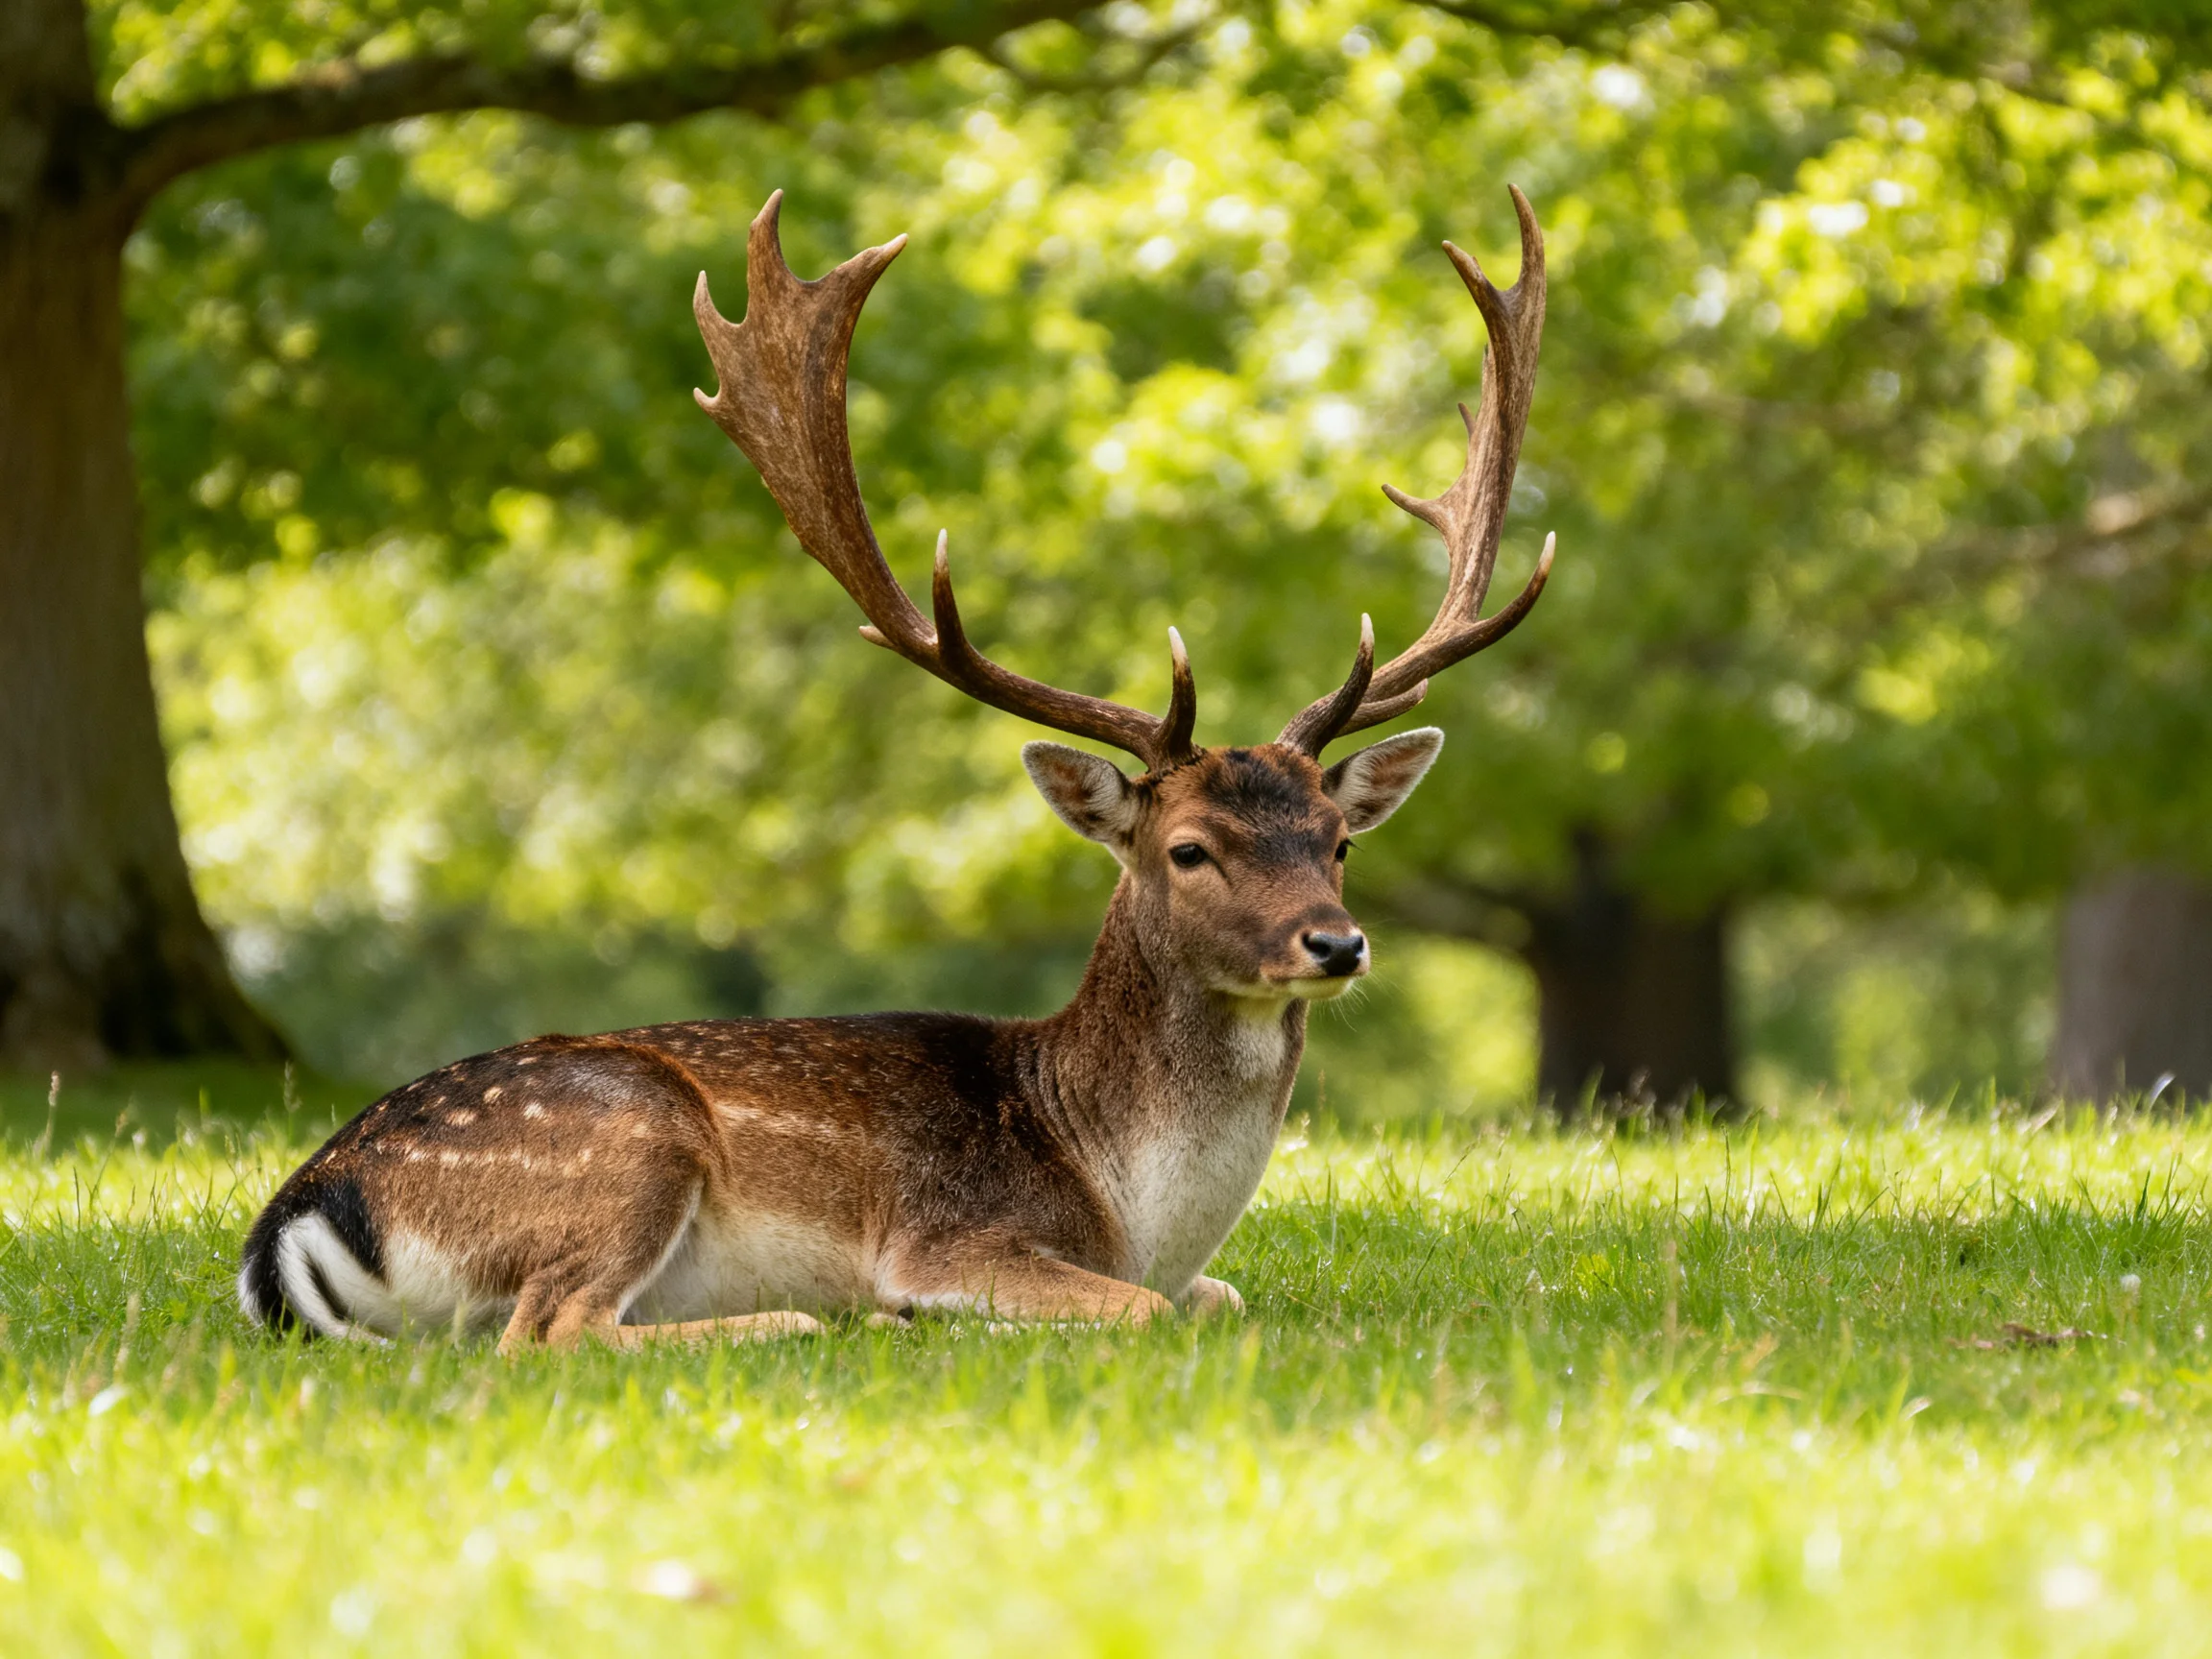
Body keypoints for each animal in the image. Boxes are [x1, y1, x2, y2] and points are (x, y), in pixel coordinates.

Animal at [238, 187, 1554, 1351]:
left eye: (1339, 841)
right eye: (1189, 848)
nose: (1336, 943)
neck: (1129, 1205)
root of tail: (292, 1227)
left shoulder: (1191, 1271)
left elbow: (1218, 1299)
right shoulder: (948, 1233)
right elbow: (1143, 1309)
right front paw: (934, 1313)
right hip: (629, 1143)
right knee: (546, 1332)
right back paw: (810, 1318)